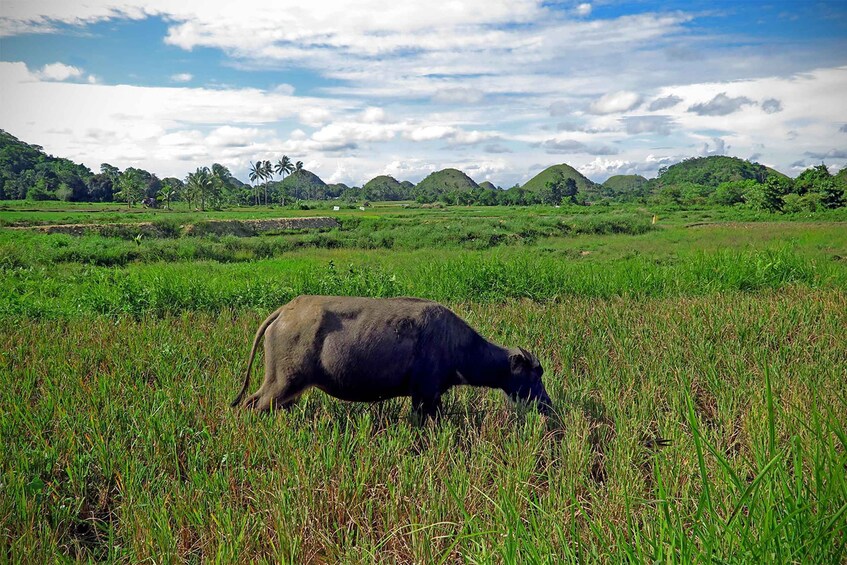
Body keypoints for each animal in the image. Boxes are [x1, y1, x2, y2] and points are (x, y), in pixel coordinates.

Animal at [229, 296, 552, 418]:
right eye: (535, 375)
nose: (547, 405)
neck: (459, 346)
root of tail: (286, 310)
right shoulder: (425, 395)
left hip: (284, 385)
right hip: (283, 382)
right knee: (253, 405)